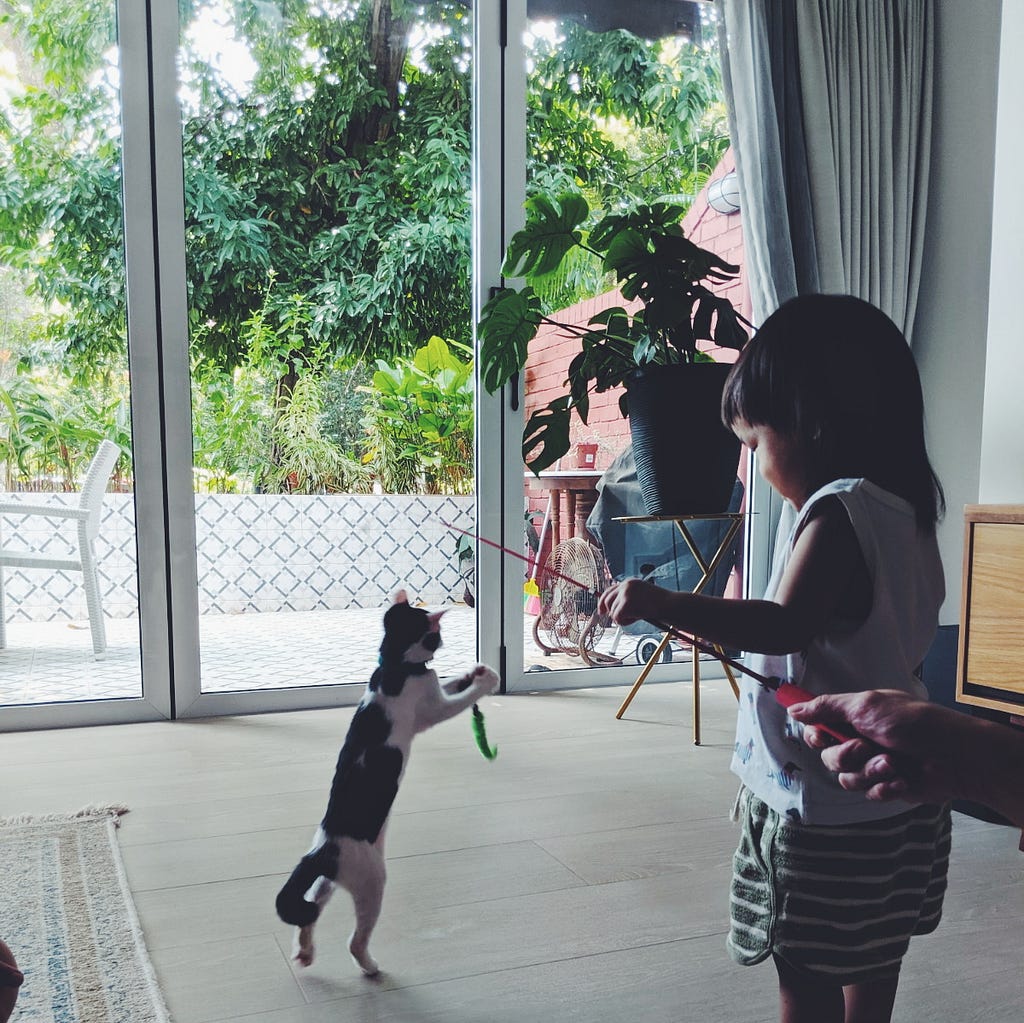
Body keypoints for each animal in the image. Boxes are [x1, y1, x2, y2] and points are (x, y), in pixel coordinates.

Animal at [276, 589, 499, 978]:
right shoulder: (433, 710)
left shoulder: (432, 688)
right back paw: (370, 967)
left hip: (326, 884)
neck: (395, 666)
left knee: (310, 913)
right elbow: (457, 697)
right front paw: (484, 681)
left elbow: (450, 680)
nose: (443, 641)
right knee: (354, 940)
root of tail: (323, 849)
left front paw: (472, 672)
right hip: (372, 881)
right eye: (437, 635)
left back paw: (304, 953)